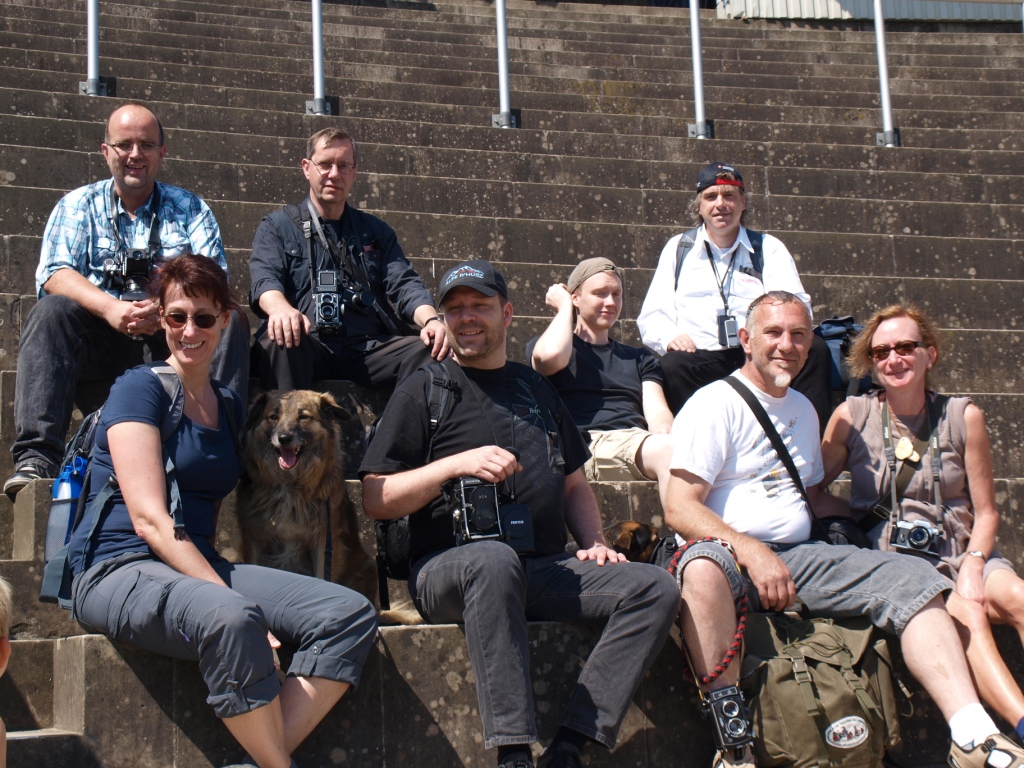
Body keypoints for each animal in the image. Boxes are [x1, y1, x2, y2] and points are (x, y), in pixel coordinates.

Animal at [236, 391, 419, 626]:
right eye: (273, 416)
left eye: (304, 416)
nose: (284, 438)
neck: (290, 484)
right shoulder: (254, 536)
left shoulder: (324, 540)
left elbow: (324, 576)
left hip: (366, 567)